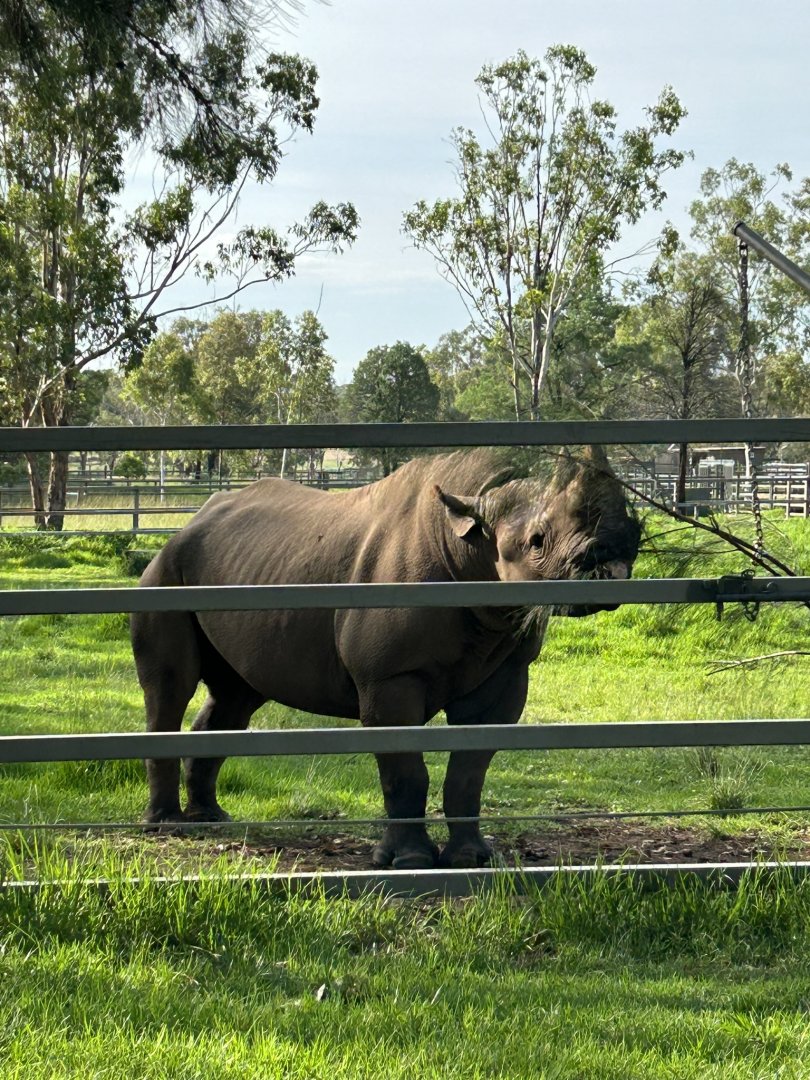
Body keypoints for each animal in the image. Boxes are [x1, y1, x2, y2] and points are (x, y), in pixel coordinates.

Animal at [131, 445, 640, 869]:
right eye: (536, 541)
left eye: (637, 529)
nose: (612, 561)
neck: (469, 543)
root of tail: (189, 523)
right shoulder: (388, 677)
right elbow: (404, 767)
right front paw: (408, 861)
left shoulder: (508, 672)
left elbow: (470, 769)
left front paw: (472, 859)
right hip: (166, 572)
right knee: (171, 686)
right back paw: (167, 826)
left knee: (236, 696)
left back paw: (212, 818)